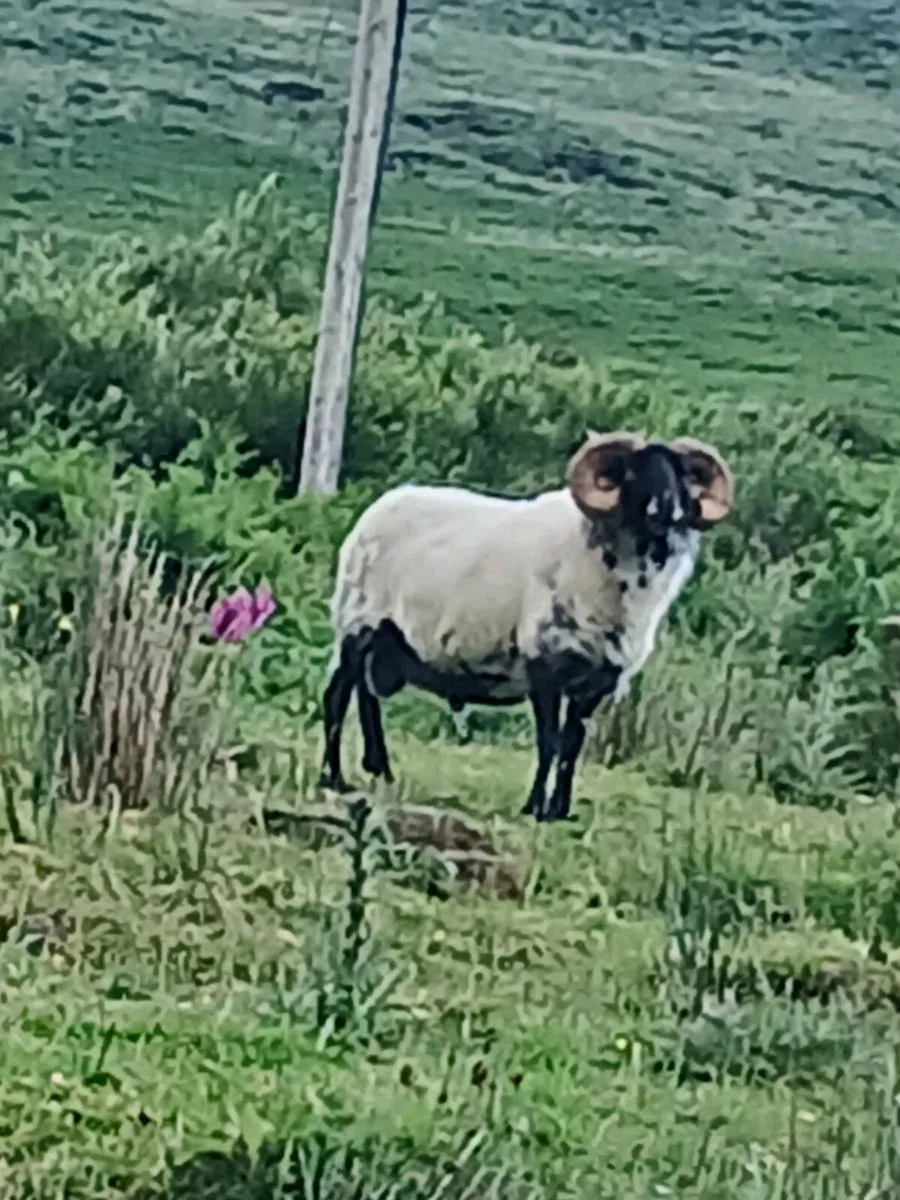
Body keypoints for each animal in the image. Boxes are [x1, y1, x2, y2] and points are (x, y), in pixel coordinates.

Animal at [318, 431, 733, 822]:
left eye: (683, 476)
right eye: (632, 472)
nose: (668, 511)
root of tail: (373, 512)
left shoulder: (595, 680)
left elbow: (572, 745)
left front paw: (559, 811)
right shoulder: (544, 667)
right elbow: (549, 741)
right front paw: (535, 807)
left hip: (382, 640)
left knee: (366, 696)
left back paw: (379, 771)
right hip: (358, 626)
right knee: (338, 696)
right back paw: (332, 778)